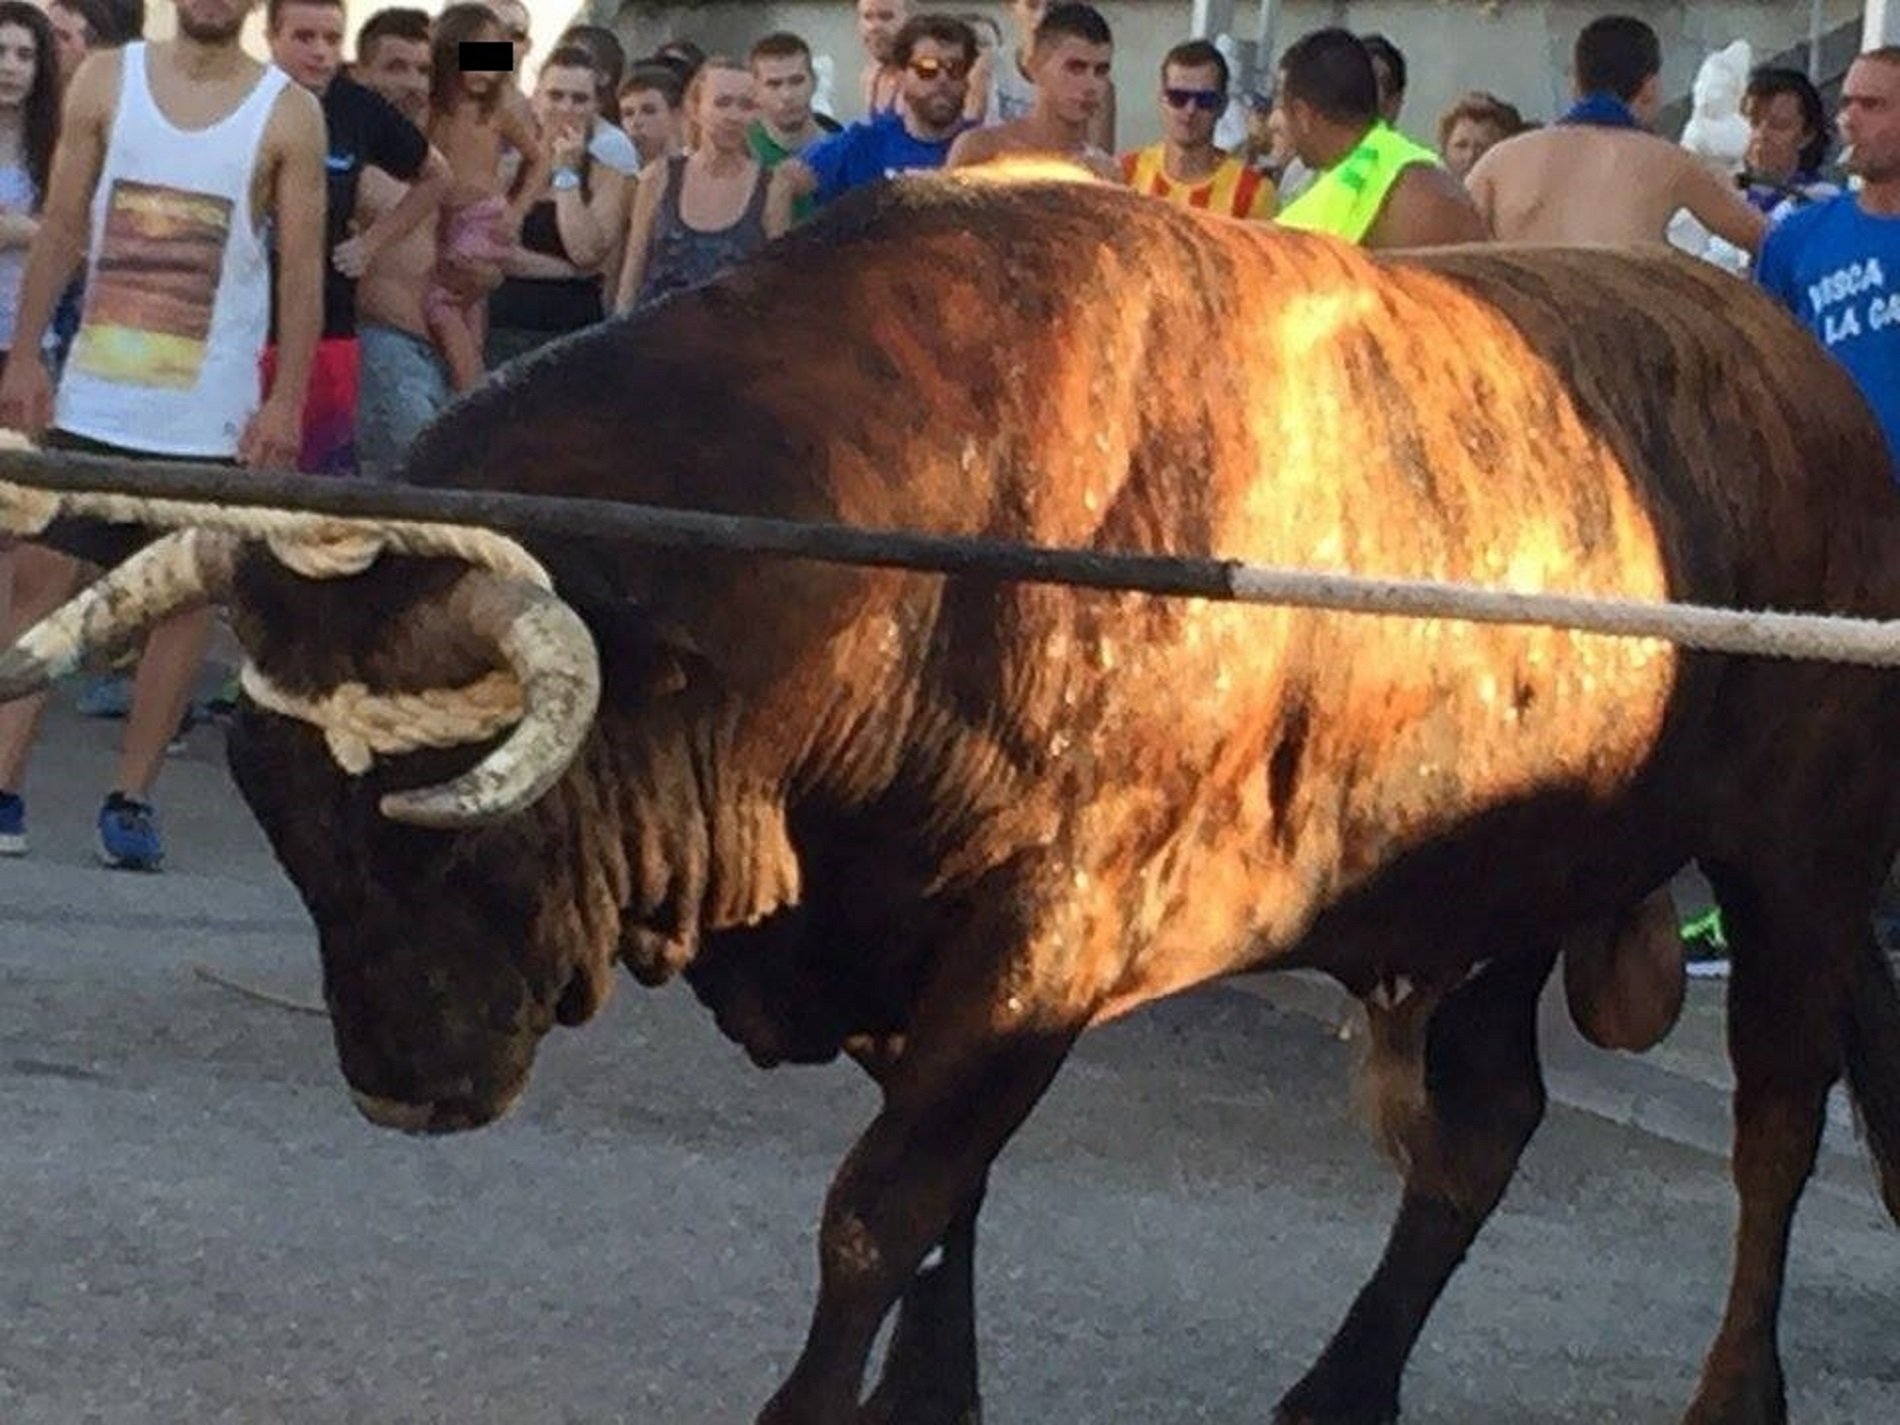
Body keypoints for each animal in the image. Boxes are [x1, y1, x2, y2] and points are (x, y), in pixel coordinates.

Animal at [3, 170, 1900, 1425]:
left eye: (453, 805)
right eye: (279, 802)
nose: (403, 1091)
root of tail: (1789, 360)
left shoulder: (1043, 937)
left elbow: (881, 1212)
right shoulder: (905, 953)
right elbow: (946, 1215)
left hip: (1798, 853)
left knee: (1776, 1127)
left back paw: (1733, 1394)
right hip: (1493, 890)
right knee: (1486, 1130)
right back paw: (1340, 1390)